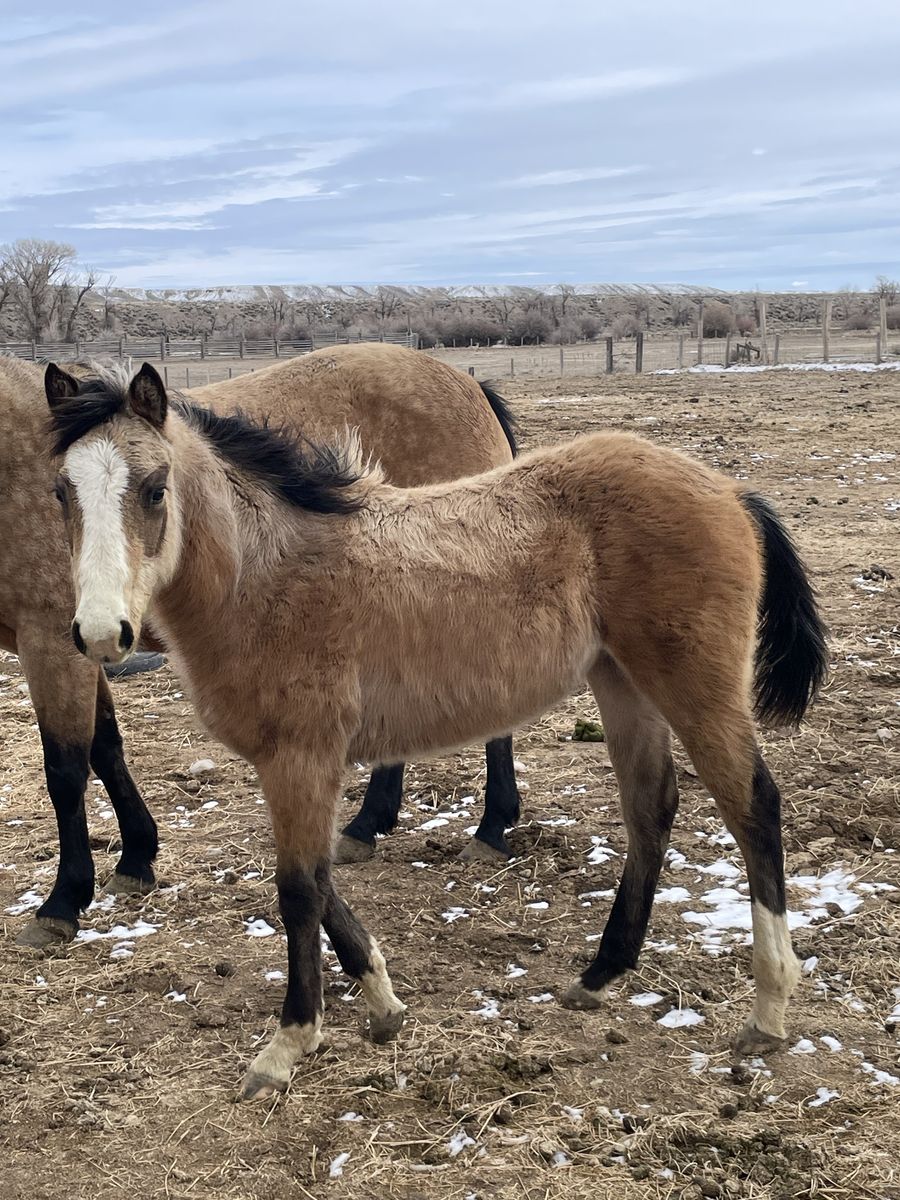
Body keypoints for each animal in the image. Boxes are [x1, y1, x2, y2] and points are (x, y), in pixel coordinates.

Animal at [0, 346, 519, 948]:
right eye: (59, 492)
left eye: (156, 491)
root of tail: (470, 385)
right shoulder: (85, 640)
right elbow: (106, 748)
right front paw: (136, 859)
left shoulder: (52, 642)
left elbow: (66, 770)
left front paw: (63, 901)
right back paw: (368, 825)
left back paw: (491, 827)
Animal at [46, 361, 827, 1100]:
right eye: (61, 493)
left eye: (154, 489)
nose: (101, 633)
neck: (263, 577)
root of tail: (729, 490)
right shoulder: (294, 764)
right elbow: (321, 881)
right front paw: (383, 1003)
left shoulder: (302, 757)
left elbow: (298, 889)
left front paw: (289, 1043)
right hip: (620, 682)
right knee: (651, 807)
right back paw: (601, 974)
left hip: (695, 686)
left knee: (752, 805)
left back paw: (767, 1010)